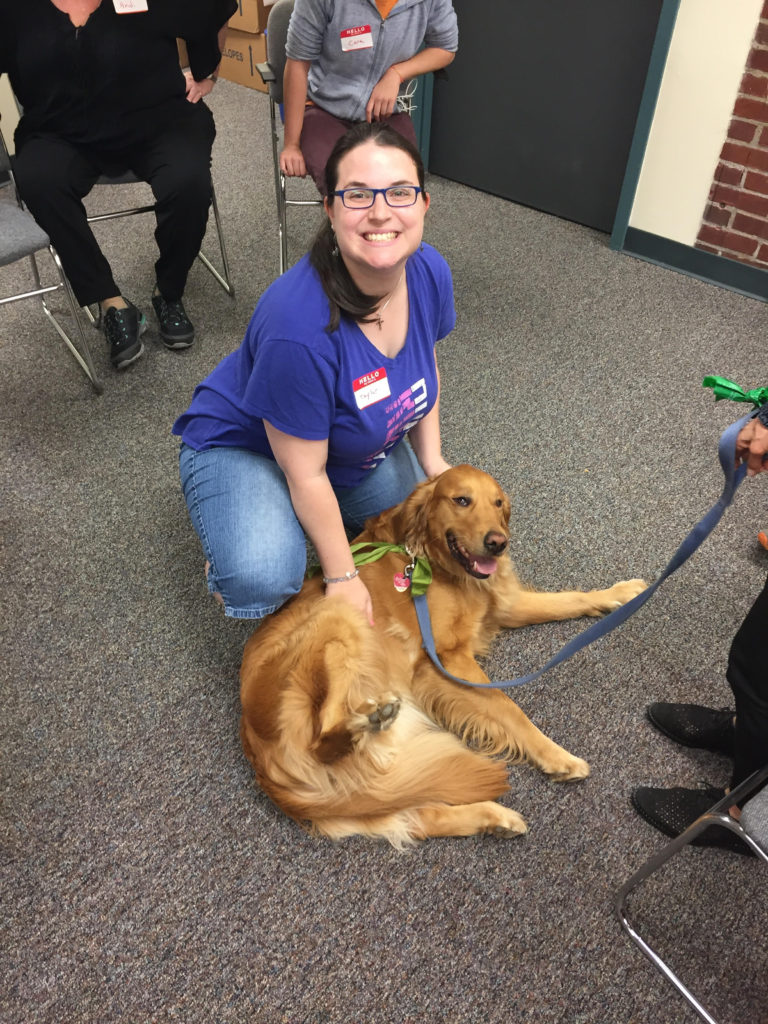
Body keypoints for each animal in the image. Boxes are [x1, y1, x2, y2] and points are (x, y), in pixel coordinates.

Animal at [239, 464, 643, 847]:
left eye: (498, 503)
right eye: (462, 500)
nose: (498, 543)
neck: (434, 562)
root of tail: (260, 759)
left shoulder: (505, 605)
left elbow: (569, 599)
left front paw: (621, 594)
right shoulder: (447, 659)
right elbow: (508, 706)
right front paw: (556, 755)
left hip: (381, 788)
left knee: (420, 818)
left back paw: (493, 818)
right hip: (339, 616)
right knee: (324, 737)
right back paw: (364, 721)